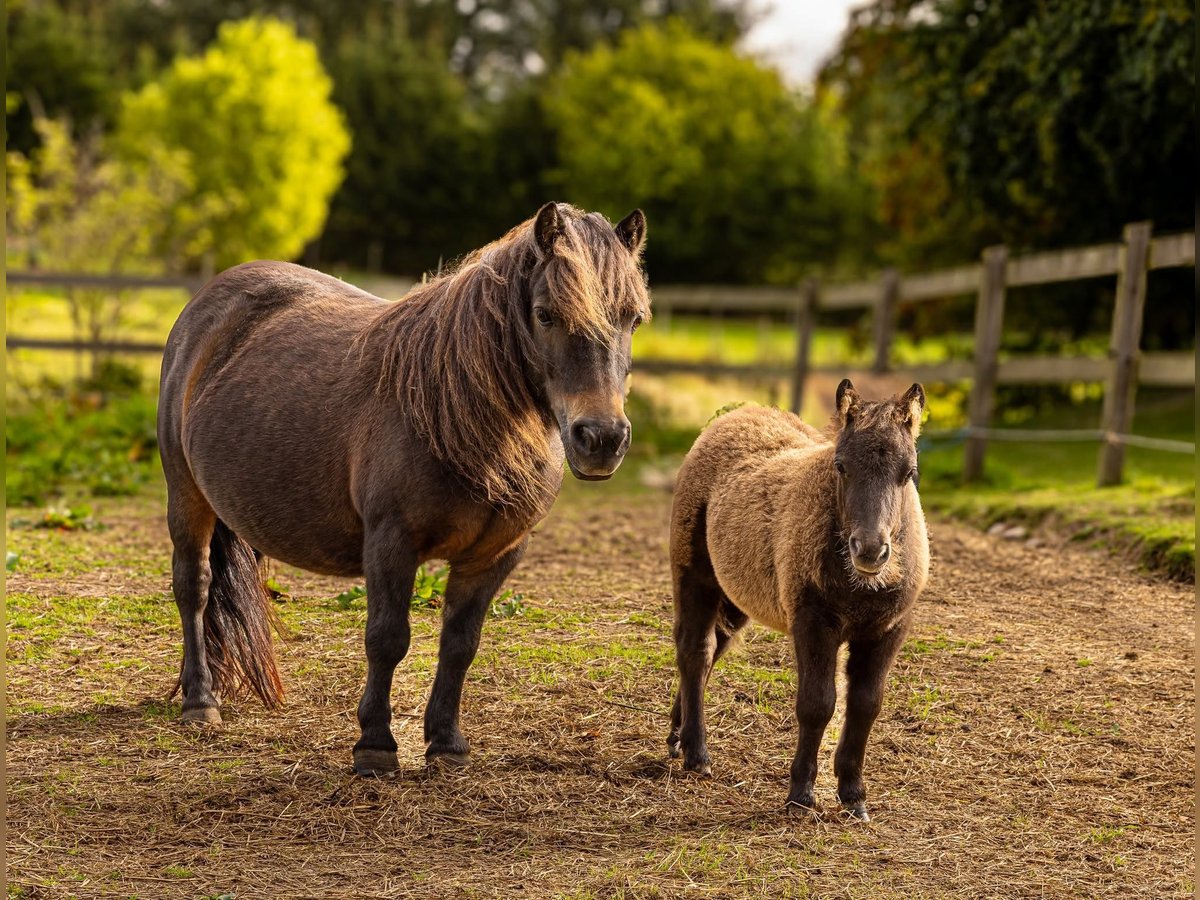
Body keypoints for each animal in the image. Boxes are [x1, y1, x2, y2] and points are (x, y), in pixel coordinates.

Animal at [667, 381, 926, 825]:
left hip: (736, 595)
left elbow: (866, 704)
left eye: (909, 472)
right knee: (695, 651)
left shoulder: (888, 629)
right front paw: (801, 794)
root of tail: (738, 412)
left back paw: (676, 734)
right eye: (841, 466)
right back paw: (697, 754)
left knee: (714, 648)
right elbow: (817, 703)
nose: (870, 551)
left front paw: (854, 795)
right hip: (694, 576)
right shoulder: (813, 622)